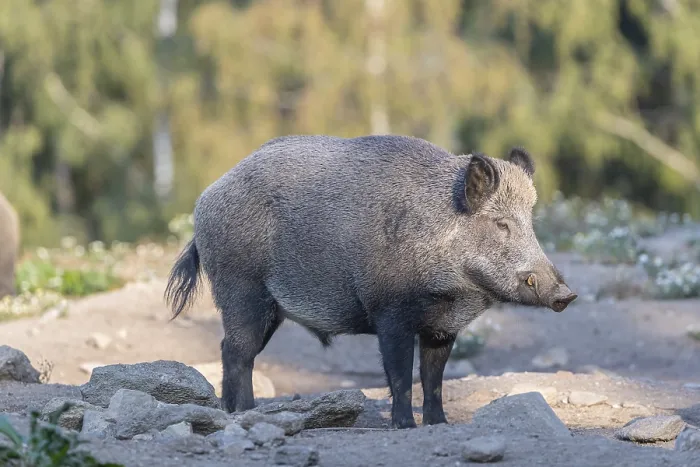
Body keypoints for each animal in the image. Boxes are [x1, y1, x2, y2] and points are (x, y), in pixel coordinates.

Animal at [165, 135, 577, 429]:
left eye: (530, 222)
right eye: (501, 224)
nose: (566, 294)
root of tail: (205, 200)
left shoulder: (442, 328)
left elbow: (434, 378)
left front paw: (439, 424)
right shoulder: (390, 312)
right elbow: (400, 374)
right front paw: (404, 426)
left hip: (268, 309)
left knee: (229, 349)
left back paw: (230, 412)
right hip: (241, 289)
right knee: (239, 353)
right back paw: (245, 413)